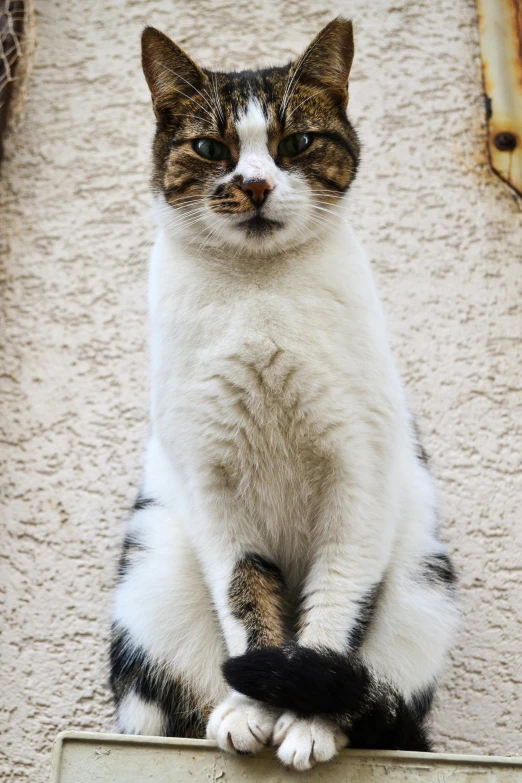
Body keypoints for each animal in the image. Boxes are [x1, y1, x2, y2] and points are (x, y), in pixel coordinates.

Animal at [108, 16, 456, 772]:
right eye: (211, 147)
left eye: (296, 142)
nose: (256, 185)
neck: (259, 291)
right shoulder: (211, 486)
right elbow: (244, 596)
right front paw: (250, 710)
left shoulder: (361, 476)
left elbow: (339, 605)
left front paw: (308, 721)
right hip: (152, 569)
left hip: (423, 586)